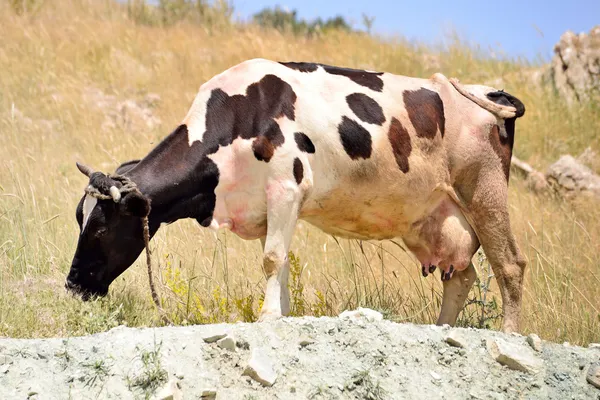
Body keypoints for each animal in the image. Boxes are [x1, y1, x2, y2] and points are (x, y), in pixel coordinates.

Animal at [67, 56, 524, 332]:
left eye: (102, 229)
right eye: (79, 218)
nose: (72, 284)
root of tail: (489, 92)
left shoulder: (286, 188)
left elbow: (272, 259)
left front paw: (268, 317)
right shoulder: (269, 206)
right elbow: (280, 262)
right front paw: (282, 314)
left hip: (484, 191)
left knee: (510, 265)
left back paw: (509, 337)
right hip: (434, 217)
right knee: (461, 274)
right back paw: (441, 329)